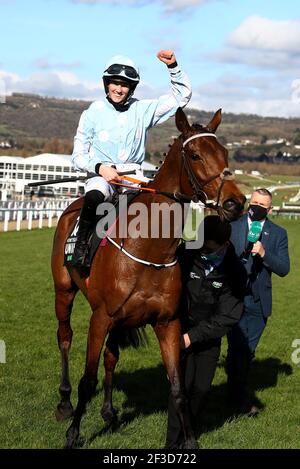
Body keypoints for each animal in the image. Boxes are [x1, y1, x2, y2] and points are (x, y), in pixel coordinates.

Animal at [51, 105, 245, 446]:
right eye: (195, 155)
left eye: (224, 153)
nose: (236, 202)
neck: (150, 249)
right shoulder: (100, 317)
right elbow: (87, 380)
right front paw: (73, 434)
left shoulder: (168, 323)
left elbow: (178, 389)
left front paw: (190, 441)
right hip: (64, 291)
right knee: (65, 337)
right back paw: (64, 401)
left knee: (111, 356)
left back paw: (108, 411)